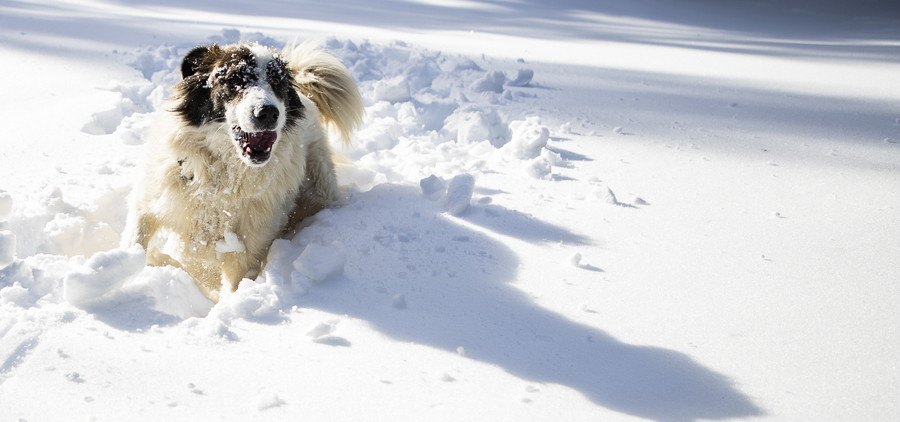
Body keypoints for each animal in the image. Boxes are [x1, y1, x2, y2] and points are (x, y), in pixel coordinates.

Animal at [125, 41, 364, 302]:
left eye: (277, 81)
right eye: (235, 79)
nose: (268, 112)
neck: (224, 177)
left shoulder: (249, 247)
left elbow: (235, 283)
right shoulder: (149, 204)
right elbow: (135, 243)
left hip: (319, 187)